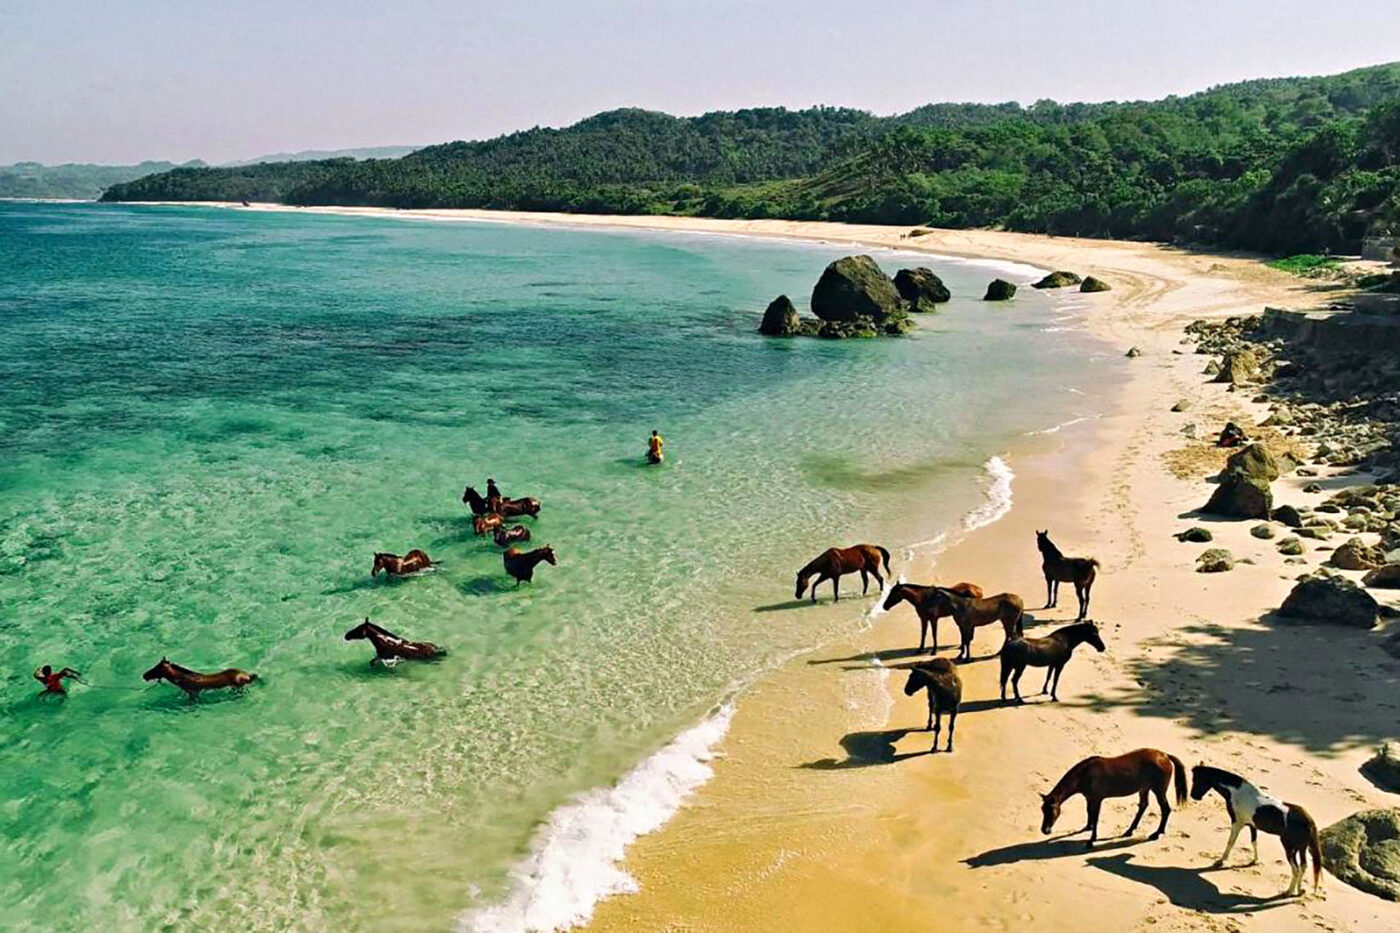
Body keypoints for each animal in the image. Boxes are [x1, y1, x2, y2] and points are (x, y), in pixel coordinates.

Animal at [1039, 748, 1187, 847]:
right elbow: (1089, 813)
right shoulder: (1089, 798)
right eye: (1042, 810)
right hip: (1144, 788)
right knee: (1143, 806)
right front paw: (1088, 827)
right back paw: (1129, 831)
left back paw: (1157, 833)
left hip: (1158, 790)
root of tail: (1164, 755)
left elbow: (1096, 818)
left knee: (1165, 809)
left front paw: (1091, 840)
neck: (1085, 774)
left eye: (1051, 810)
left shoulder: (1097, 799)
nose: (1044, 830)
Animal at [1189, 764, 1322, 897]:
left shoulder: (1237, 823)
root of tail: (1308, 821)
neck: (1237, 792)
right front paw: (1254, 861)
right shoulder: (1252, 826)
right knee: (1303, 866)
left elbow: (1231, 842)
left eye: (1197, 779)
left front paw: (1221, 861)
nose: (1194, 796)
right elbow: (1254, 842)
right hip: (1301, 848)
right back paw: (1299, 891)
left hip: (1289, 847)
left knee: (1296, 869)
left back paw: (1288, 892)